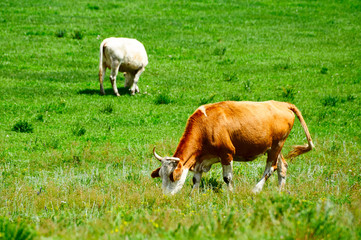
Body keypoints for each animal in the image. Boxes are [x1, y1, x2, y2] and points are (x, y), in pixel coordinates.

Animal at [150, 100, 314, 196]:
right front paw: (192, 196)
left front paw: (230, 195)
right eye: (161, 176)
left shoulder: (227, 154)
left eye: (172, 177)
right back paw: (280, 191)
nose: (165, 196)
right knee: (282, 166)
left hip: (277, 145)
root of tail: (283, 104)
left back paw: (256, 189)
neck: (205, 125)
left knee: (270, 168)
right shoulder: (200, 159)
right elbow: (195, 179)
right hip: (273, 147)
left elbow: (227, 178)